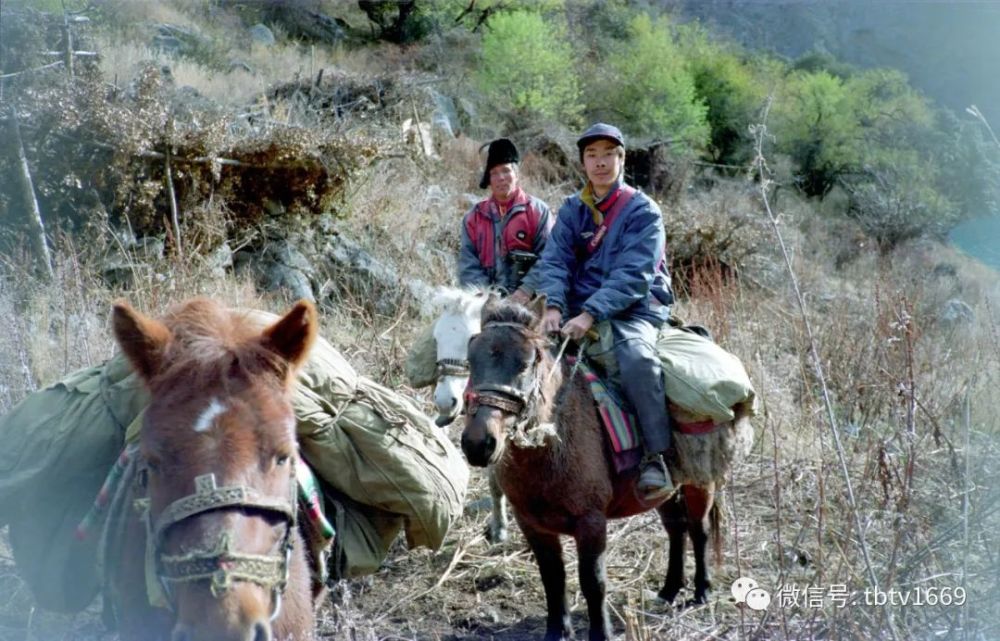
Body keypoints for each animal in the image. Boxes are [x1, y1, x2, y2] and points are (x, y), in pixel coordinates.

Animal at [460, 296, 752, 640]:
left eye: (526, 363)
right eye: (471, 359)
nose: (478, 443)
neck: (554, 441)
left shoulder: (591, 523)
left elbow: (593, 583)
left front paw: (601, 632)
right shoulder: (531, 524)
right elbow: (552, 577)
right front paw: (556, 630)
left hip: (699, 482)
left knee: (699, 529)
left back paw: (702, 590)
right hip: (662, 493)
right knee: (676, 529)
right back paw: (668, 590)